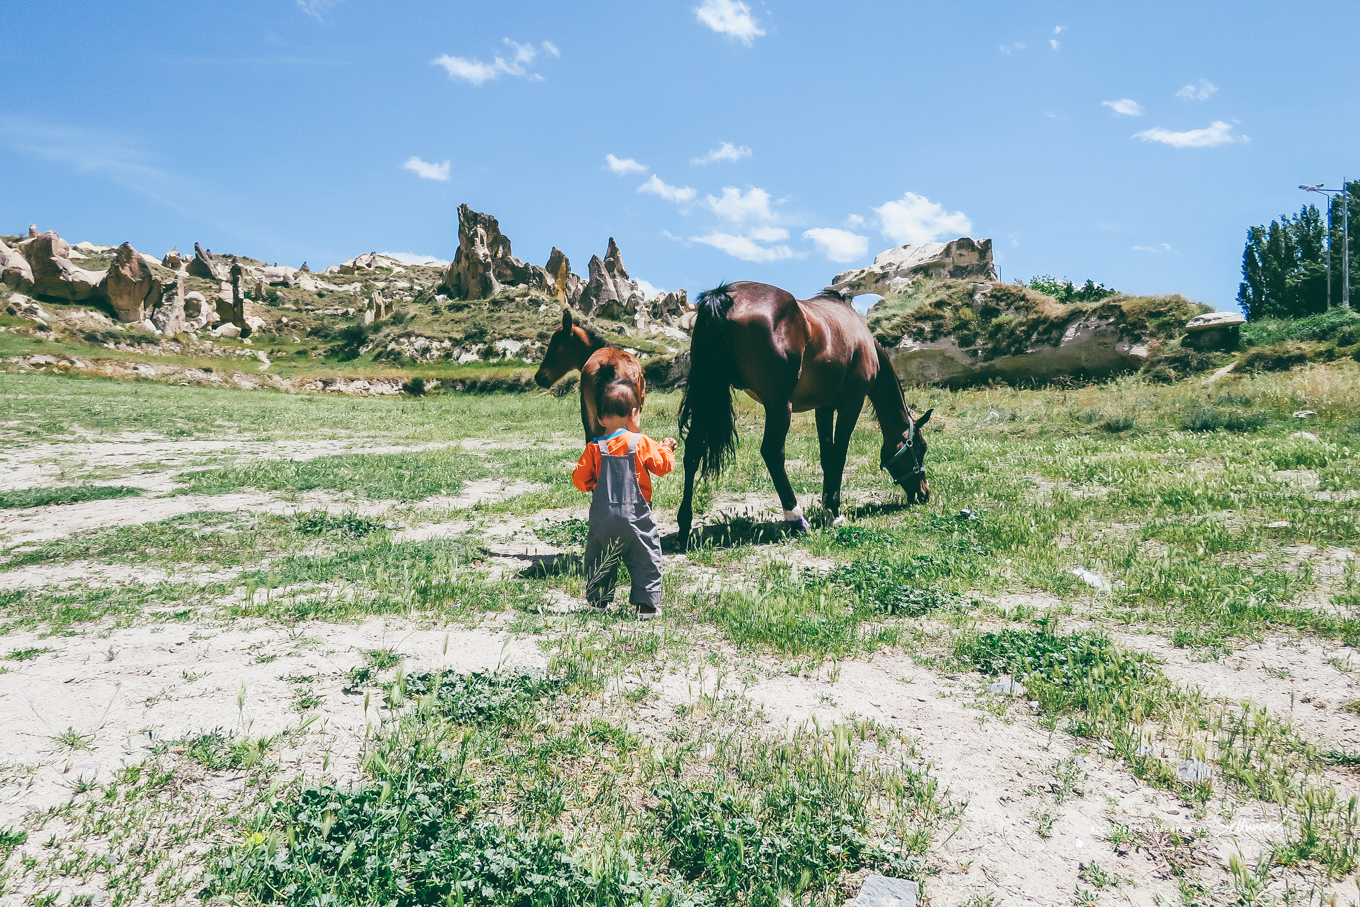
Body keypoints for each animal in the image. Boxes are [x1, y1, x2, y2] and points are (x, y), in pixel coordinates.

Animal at [674, 280, 930, 546]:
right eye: (921, 448)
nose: (925, 493)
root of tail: (726, 294)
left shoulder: (824, 407)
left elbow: (828, 457)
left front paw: (829, 508)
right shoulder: (852, 403)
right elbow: (839, 456)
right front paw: (835, 511)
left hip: (709, 397)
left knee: (692, 452)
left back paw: (684, 526)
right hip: (779, 406)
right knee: (772, 453)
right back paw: (796, 519)